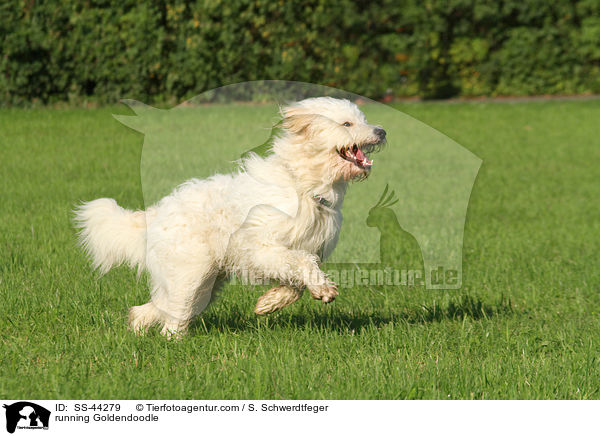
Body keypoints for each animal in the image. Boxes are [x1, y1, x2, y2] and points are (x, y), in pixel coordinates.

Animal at [75, 98, 386, 338]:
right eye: (346, 124)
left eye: (362, 119)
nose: (382, 131)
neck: (303, 185)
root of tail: (156, 213)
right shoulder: (264, 249)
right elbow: (301, 263)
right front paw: (322, 289)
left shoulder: (306, 249)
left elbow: (296, 284)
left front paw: (269, 304)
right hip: (191, 275)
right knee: (172, 317)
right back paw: (173, 342)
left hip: (204, 284)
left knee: (150, 309)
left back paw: (139, 331)